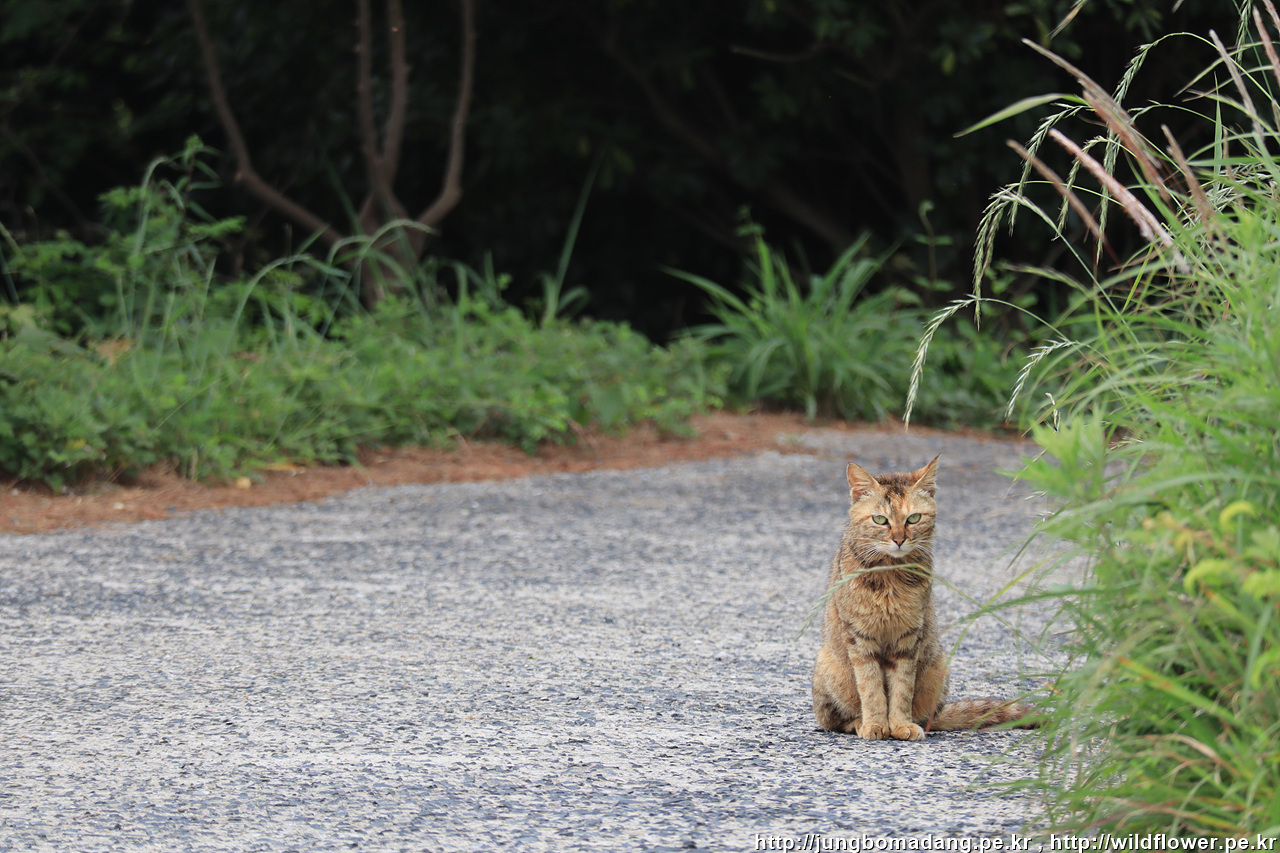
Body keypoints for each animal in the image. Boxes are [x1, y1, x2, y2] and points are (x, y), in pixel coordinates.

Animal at [811, 455, 1035, 740]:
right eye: (880, 520)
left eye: (914, 518)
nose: (898, 539)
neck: (891, 577)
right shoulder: (860, 638)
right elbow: (871, 689)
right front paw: (875, 724)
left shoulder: (908, 639)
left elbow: (902, 688)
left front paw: (900, 724)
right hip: (829, 668)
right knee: (831, 719)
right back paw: (858, 722)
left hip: (937, 669)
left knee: (924, 714)